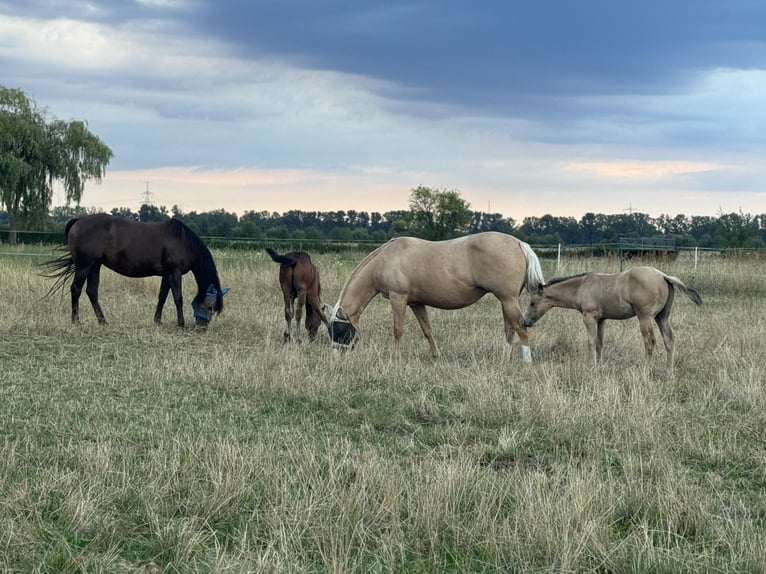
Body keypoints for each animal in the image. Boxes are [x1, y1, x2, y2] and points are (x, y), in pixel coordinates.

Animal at [42, 214, 228, 326]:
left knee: (92, 292)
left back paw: (103, 322)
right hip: (84, 266)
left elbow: (162, 296)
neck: (182, 241)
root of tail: (78, 220)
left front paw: (157, 321)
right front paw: (180, 323)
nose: (201, 327)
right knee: (76, 289)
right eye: (210, 307)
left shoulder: (167, 274)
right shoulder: (174, 273)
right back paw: (76, 321)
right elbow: (178, 298)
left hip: (95, 266)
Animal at [324, 232, 544, 362]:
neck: (387, 259)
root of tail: (518, 243)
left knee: (520, 327)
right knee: (510, 329)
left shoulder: (398, 298)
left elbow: (397, 329)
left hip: (508, 299)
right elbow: (427, 329)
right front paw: (436, 355)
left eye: (339, 329)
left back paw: (526, 361)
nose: (336, 358)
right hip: (506, 301)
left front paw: (394, 357)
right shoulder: (416, 303)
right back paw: (504, 359)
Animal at [524, 266, 704, 378]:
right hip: (662, 317)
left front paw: (592, 368)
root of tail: (663, 276)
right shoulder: (602, 320)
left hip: (645, 317)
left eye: (532, 302)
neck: (581, 286)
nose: (526, 322)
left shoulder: (589, 317)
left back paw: (645, 371)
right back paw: (669, 373)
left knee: (650, 342)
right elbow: (599, 343)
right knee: (669, 340)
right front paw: (599, 366)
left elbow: (591, 342)